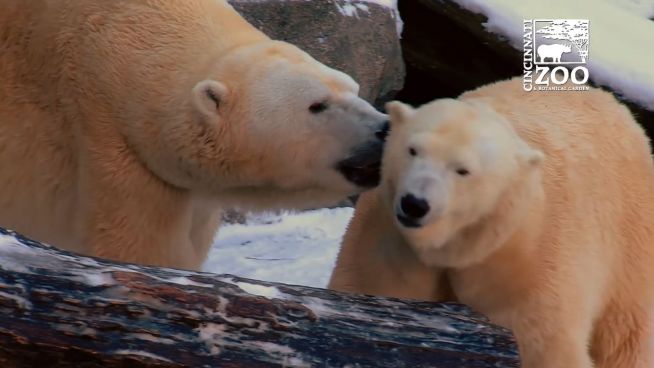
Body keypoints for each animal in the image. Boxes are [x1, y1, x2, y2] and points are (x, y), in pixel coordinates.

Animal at [330, 76, 654, 366]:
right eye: (413, 150)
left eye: (462, 170)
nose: (414, 204)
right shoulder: (388, 239)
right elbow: (375, 288)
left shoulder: (532, 260)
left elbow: (542, 345)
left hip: (630, 243)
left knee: (625, 336)